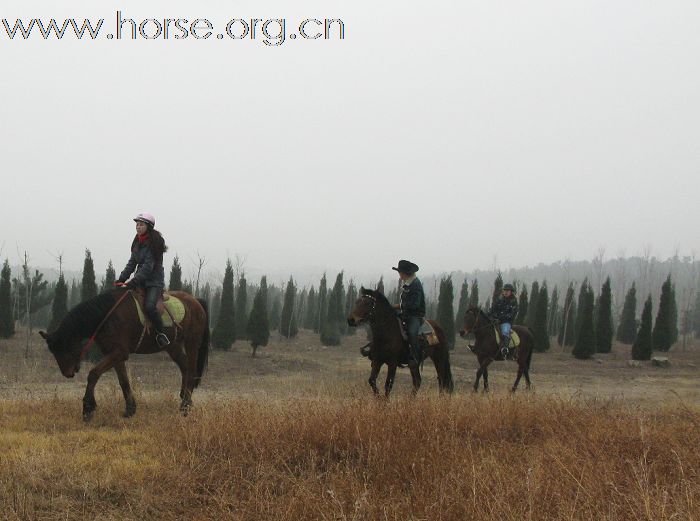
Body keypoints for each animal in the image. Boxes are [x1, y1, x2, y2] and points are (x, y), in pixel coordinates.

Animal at [39, 286, 209, 420]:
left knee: (191, 370)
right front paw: (130, 409)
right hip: (173, 346)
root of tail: (195, 301)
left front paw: (88, 408)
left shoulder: (119, 352)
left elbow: (93, 374)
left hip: (192, 343)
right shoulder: (115, 354)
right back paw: (185, 399)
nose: (67, 373)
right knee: (185, 366)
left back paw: (185, 406)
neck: (108, 316)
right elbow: (123, 381)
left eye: (65, 347)